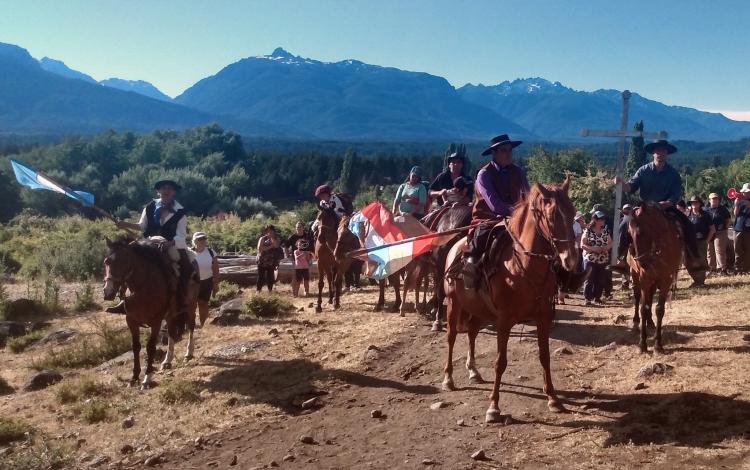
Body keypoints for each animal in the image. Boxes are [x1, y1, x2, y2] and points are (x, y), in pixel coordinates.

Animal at [103, 237, 197, 388]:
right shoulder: (131, 321)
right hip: (170, 315)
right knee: (171, 333)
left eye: (124, 262)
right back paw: (167, 361)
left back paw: (189, 353)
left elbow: (150, 347)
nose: (108, 292)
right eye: (106, 261)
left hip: (191, 306)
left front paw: (147, 378)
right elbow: (136, 347)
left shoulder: (156, 322)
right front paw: (134, 377)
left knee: (191, 326)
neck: (142, 288)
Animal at [444, 177, 580, 422]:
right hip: (453, 303)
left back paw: (473, 371)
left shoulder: (543, 317)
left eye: (573, 212)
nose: (571, 259)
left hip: (479, 310)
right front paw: (493, 407)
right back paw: (448, 379)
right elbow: (500, 362)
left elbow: (545, 356)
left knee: (471, 332)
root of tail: (455, 248)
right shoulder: (504, 321)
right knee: (451, 337)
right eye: (552, 216)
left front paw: (553, 398)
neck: (521, 266)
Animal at [624, 202, 684, 352]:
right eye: (629, 234)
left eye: (642, 232)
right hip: (636, 276)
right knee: (638, 298)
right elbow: (643, 308)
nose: (641, 261)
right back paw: (636, 322)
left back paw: (650, 322)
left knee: (650, 299)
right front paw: (642, 344)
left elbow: (659, 309)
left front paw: (658, 344)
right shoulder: (644, 279)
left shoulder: (665, 280)